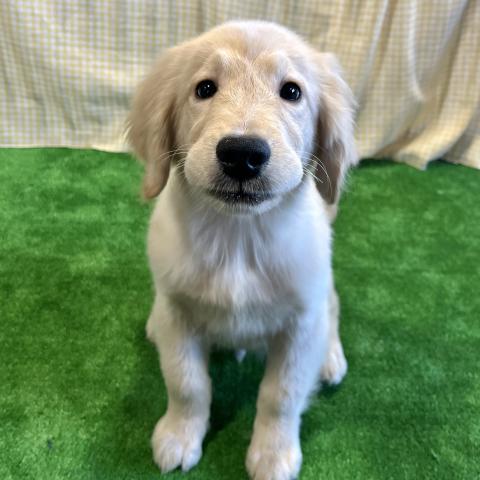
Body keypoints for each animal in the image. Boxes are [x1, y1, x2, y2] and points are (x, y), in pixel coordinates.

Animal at [127, 20, 357, 480]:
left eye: (291, 91)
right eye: (205, 88)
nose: (243, 154)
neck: (237, 238)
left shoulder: (302, 320)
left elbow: (281, 394)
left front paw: (273, 454)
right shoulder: (177, 310)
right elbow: (186, 383)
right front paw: (179, 436)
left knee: (334, 308)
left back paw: (330, 357)